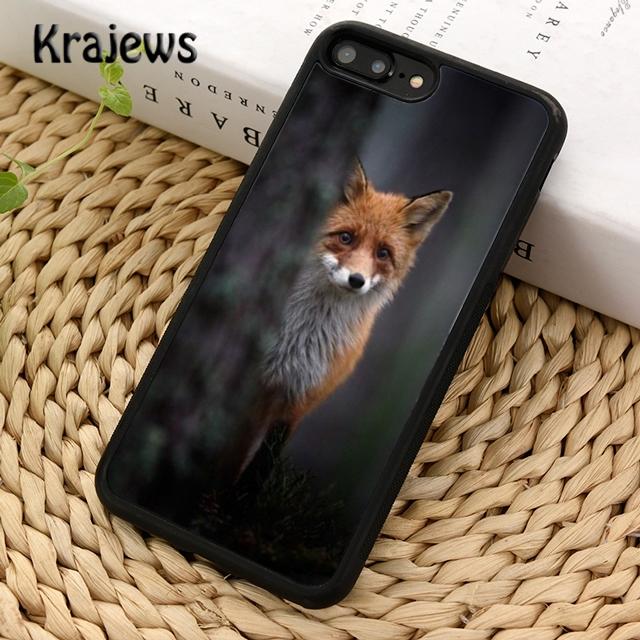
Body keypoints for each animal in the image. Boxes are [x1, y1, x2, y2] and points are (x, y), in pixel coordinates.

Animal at [238, 161, 452, 476]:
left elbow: (261, 465)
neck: (300, 337)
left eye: (383, 253)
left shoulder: (299, 400)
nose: (356, 280)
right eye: (346, 237)